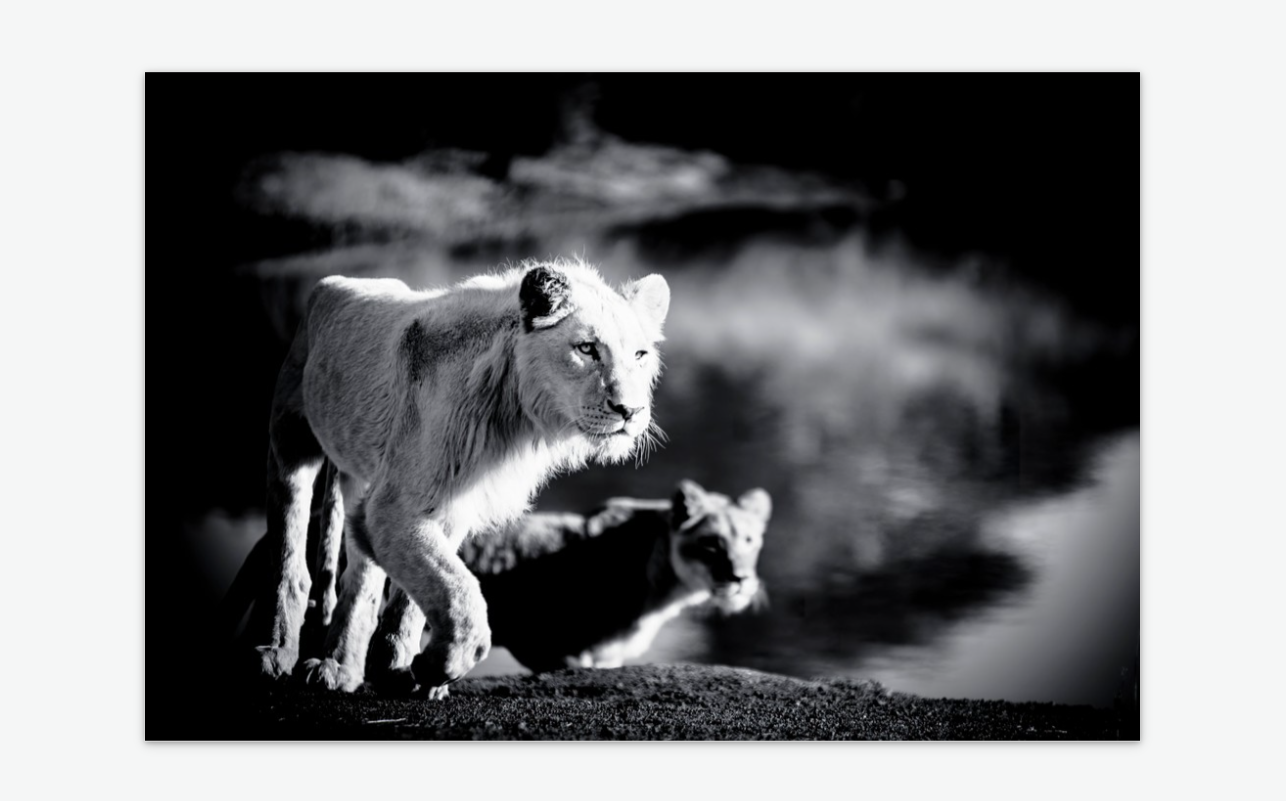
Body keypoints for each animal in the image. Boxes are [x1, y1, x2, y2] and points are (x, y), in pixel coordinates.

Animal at [247, 259, 670, 698]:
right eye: (587, 348)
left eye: (640, 355)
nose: (630, 411)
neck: (513, 415)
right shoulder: (395, 506)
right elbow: (459, 591)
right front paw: (438, 665)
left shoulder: (448, 504)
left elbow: (417, 596)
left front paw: (401, 669)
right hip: (290, 439)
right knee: (290, 554)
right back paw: (276, 654)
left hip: (359, 478)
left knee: (360, 577)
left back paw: (340, 667)